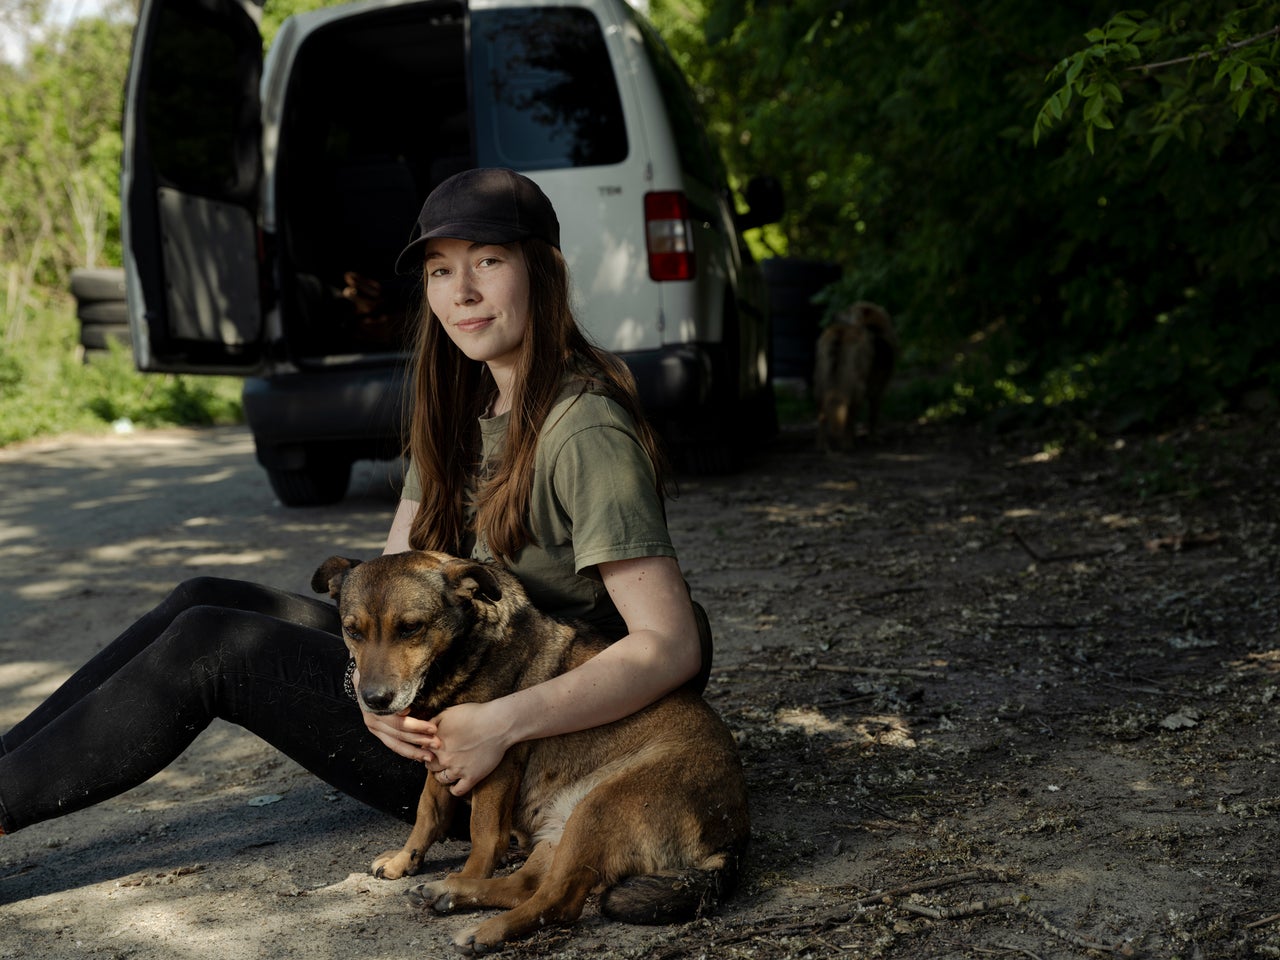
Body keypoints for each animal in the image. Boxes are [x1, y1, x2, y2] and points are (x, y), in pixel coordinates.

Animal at [312, 552, 747, 952]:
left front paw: (464, 872)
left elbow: (483, 837)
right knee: (526, 886)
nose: (374, 701)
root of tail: (730, 836)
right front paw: (407, 859)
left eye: (410, 628)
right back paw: (451, 894)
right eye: (351, 631)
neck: (466, 651)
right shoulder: (440, 755)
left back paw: (480, 924)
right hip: (560, 837)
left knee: (559, 901)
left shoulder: (493, 762)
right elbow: (428, 812)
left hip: (599, 808)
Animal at [814, 300, 896, 450]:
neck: (874, 327)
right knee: (848, 416)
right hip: (858, 388)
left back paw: (822, 445)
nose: (833, 315)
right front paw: (873, 438)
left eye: (847, 310)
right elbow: (873, 417)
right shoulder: (878, 391)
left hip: (820, 385)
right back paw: (848, 444)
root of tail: (840, 332)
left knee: (822, 416)